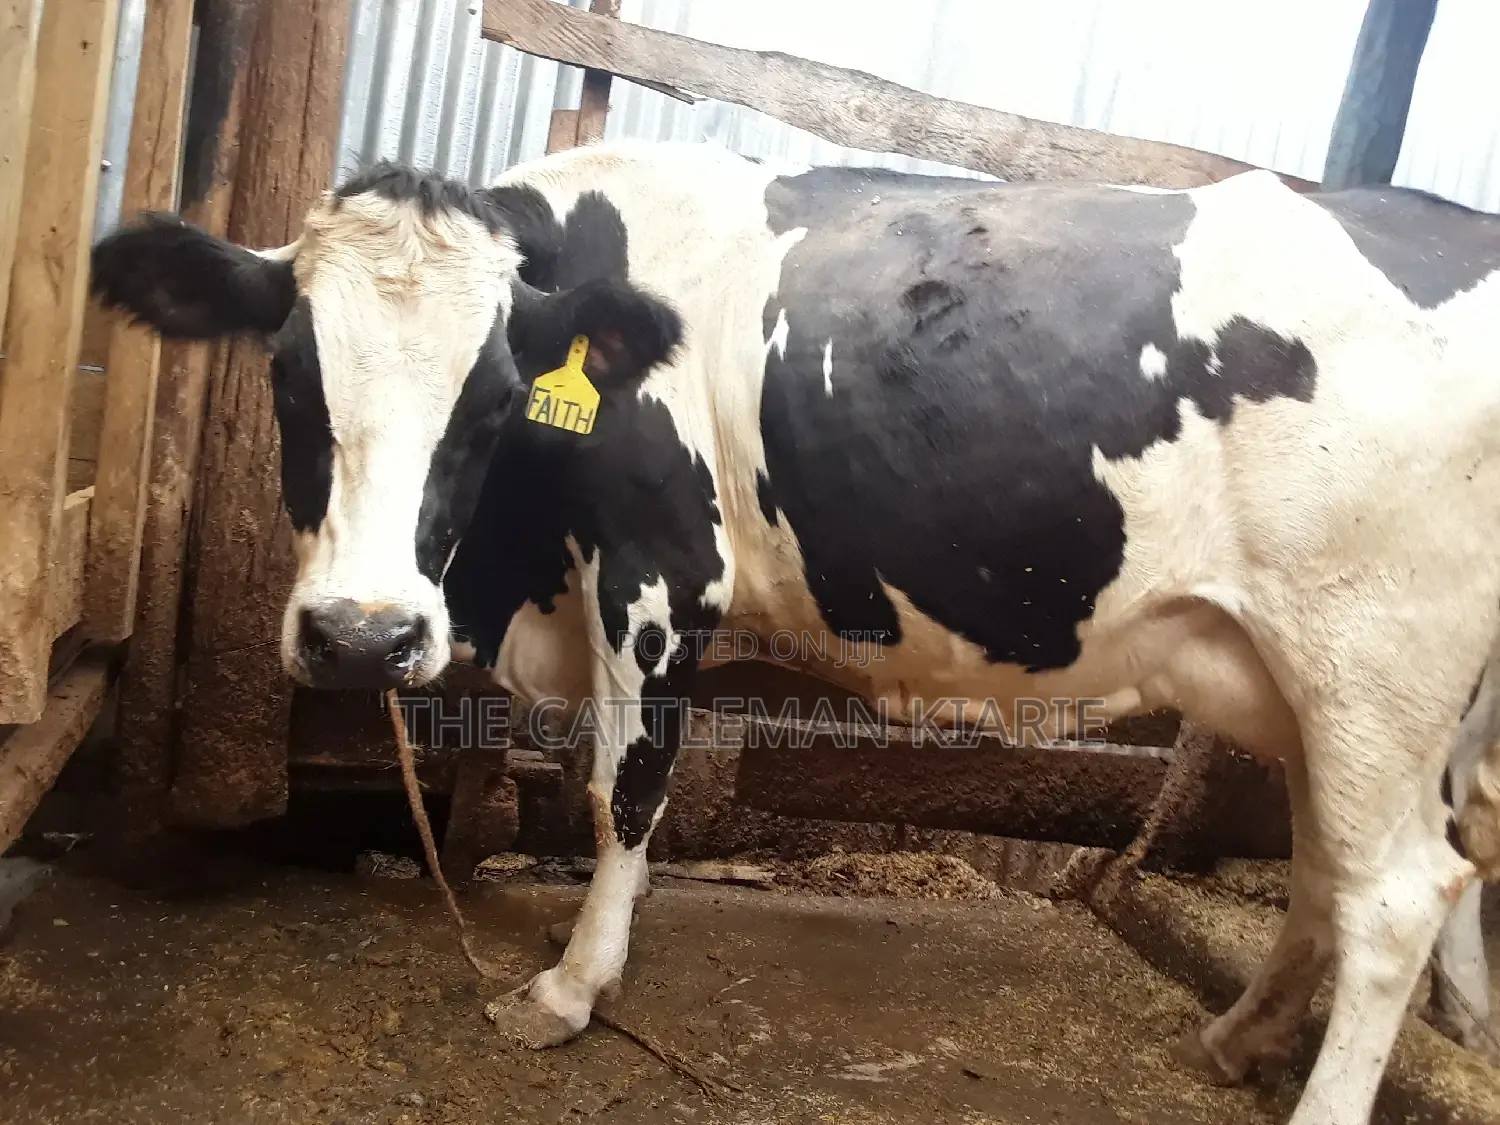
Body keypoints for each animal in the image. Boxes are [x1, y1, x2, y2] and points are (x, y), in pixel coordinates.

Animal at [88, 139, 1500, 1124]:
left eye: (491, 399)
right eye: (289, 374)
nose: (364, 637)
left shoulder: (660, 578)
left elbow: (624, 791)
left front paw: (572, 987)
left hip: (1372, 654)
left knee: (1398, 895)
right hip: (1315, 682)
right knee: (1332, 859)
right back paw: (1239, 1037)